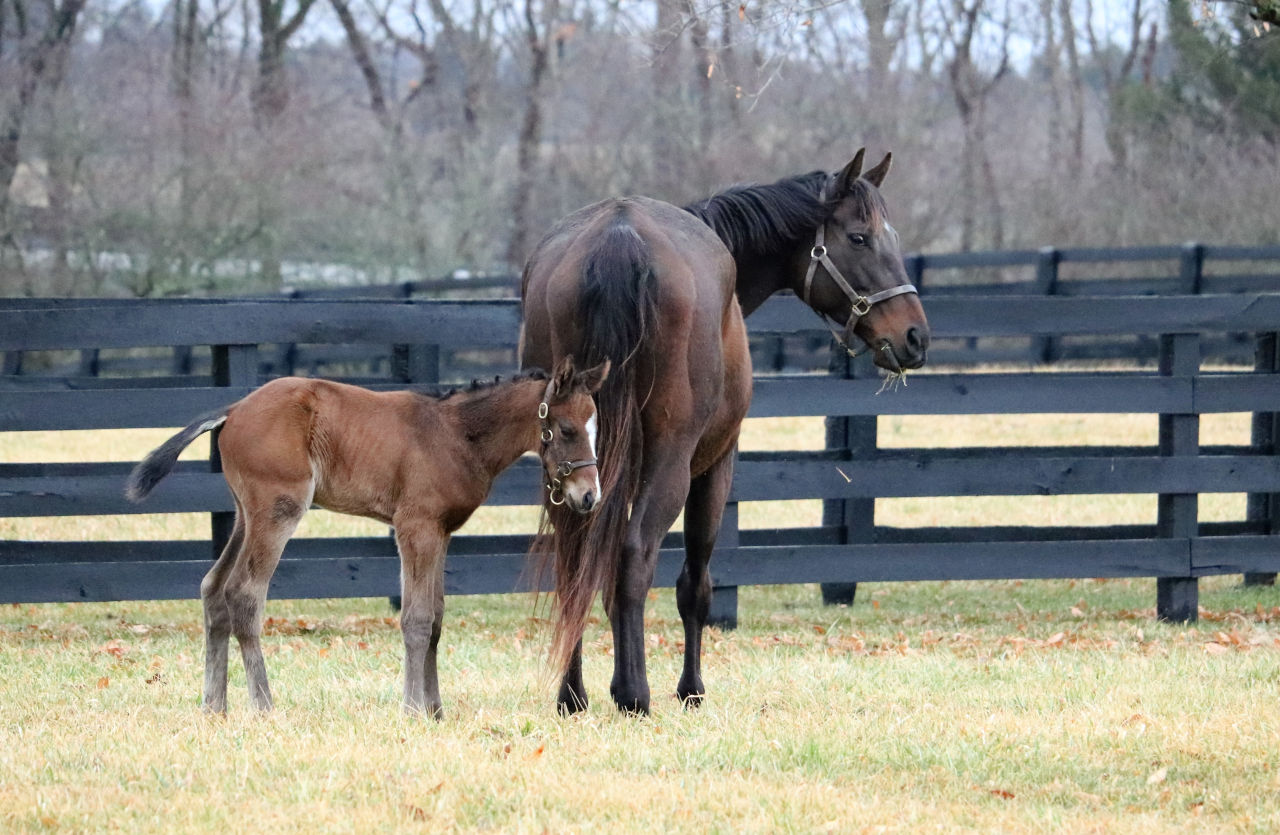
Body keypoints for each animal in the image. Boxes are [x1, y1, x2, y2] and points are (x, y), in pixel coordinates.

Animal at [126, 358, 609, 717]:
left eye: (596, 430)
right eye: (567, 430)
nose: (589, 497)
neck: (455, 434)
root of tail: (233, 410)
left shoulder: (440, 533)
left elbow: (436, 618)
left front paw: (436, 710)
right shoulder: (415, 527)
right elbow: (416, 619)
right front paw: (413, 710)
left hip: (247, 515)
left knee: (213, 588)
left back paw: (214, 706)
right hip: (278, 511)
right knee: (243, 593)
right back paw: (263, 706)